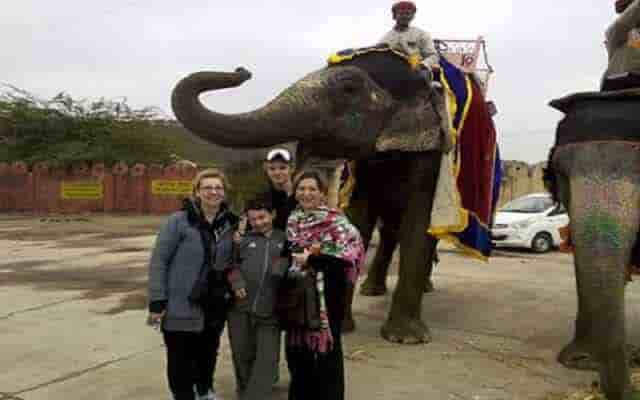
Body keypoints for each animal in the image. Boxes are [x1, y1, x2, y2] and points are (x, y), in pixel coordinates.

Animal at [171, 46, 496, 340]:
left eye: (348, 88)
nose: (242, 71)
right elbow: (359, 217)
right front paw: (343, 327)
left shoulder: (435, 152)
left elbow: (420, 221)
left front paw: (405, 339)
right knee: (390, 230)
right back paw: (373, 290)